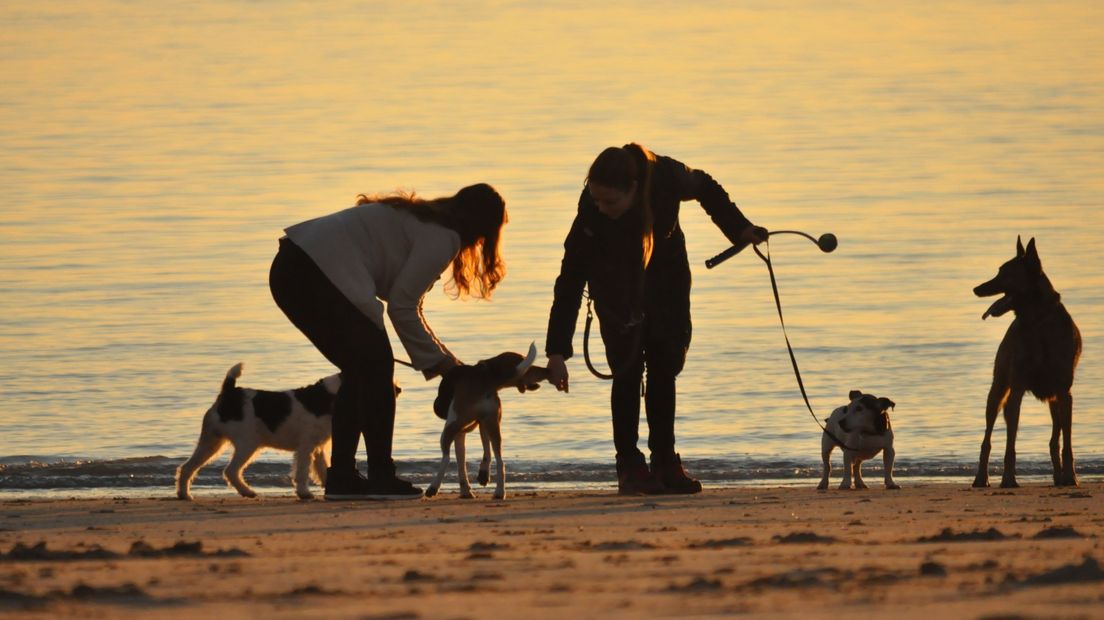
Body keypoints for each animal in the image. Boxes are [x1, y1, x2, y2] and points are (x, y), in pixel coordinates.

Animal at [175, 361, 344, 496]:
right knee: (230, 471)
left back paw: (184, 494)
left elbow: (322, 469)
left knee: (187, 468)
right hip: (247, 444)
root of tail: (229, 393)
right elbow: (302, 472)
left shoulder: (318, 447)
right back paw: (247, 491)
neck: (327, 395)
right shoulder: (306, 447)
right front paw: (304, 493)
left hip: (211, 441)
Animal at [975, 237, 1077, 487]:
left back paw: (1059, 477)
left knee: (1055, 438)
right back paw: (981, 477)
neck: (1037, 320)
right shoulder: (1016, 389)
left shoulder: (1064, 392)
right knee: (987, 438)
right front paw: (1008, 478)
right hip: (997, 390)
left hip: (1054, 399)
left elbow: (1067, 443)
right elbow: (1009, 446)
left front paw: (1070, 476)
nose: (976, 289)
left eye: (1004, 273)